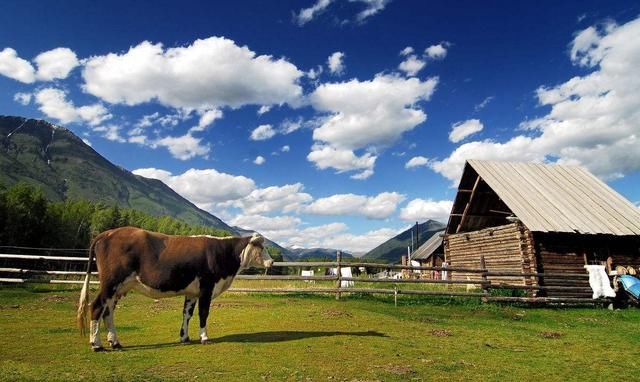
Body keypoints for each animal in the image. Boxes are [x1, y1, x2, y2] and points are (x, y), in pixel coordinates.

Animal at [77, 227, 272, 352]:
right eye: (261, 247)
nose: (271, 262)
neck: (223, 253)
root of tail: (108, 232)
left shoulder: (192, 292)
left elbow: (187, 314)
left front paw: (184, 337)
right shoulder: (207, 287)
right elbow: (203, 313)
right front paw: (204, 338)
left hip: (118, 288)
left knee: (108, 312)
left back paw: (115, 342)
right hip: (110, 283)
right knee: (97, 308)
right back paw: (96, 344)